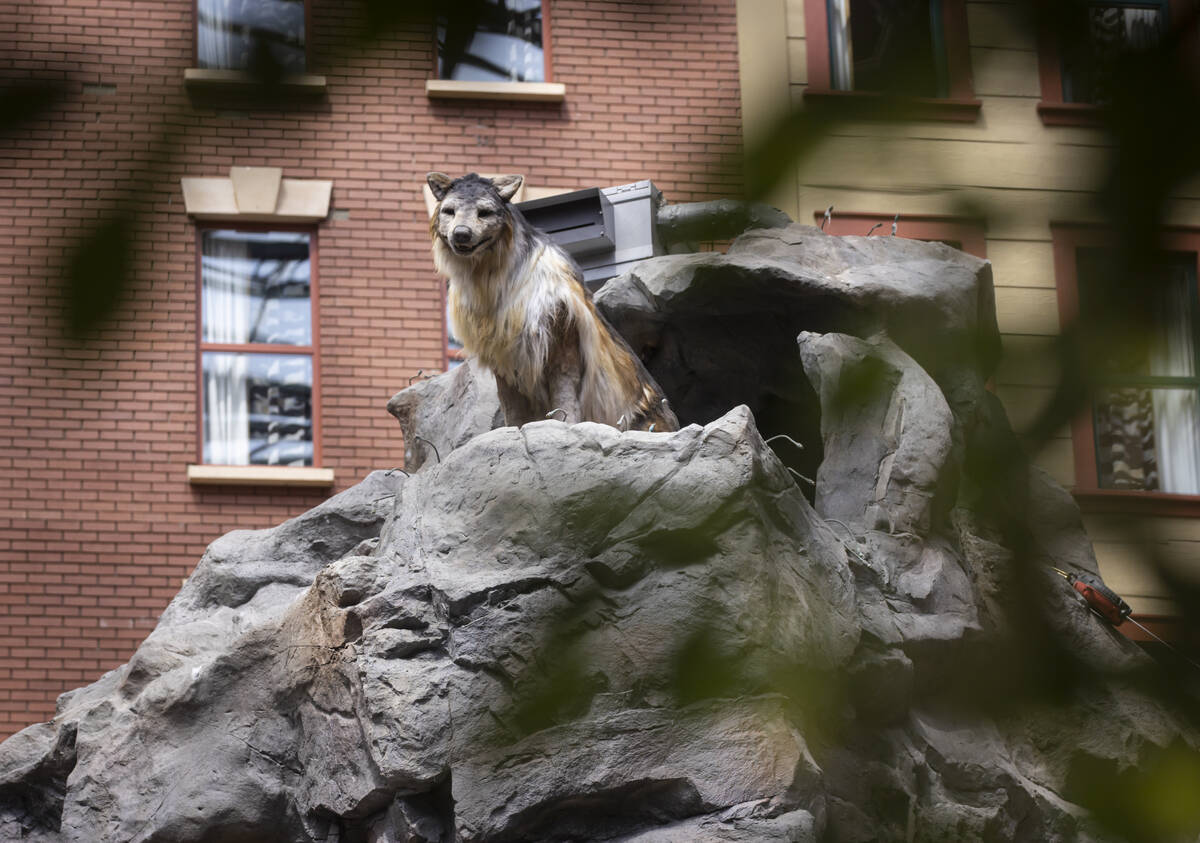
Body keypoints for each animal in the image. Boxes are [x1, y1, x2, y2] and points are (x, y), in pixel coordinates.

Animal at [426, 172, 679, 432]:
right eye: (449, 211)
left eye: (484, 212)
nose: (461, 233)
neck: (494, 286)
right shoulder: (504, 357)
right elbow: (512, 409)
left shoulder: (561, 343)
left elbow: (564, 400)